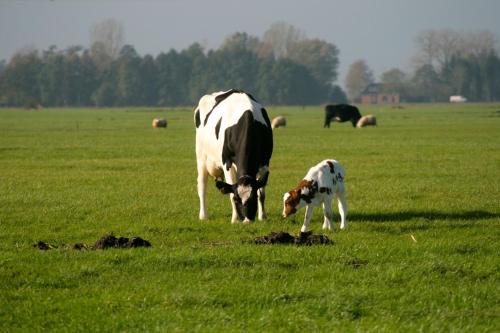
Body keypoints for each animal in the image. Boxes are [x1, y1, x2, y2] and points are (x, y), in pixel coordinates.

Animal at [195, 88, 274, 223]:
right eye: (238, 199)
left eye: (252, 198)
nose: (247, 221)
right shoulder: (227, 162)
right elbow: (231, 193)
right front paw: (235, 219)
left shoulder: (264, 162)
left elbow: (262, 193)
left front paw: (262, 217)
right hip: (201, 158)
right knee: (202, 186)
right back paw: (203, 216)